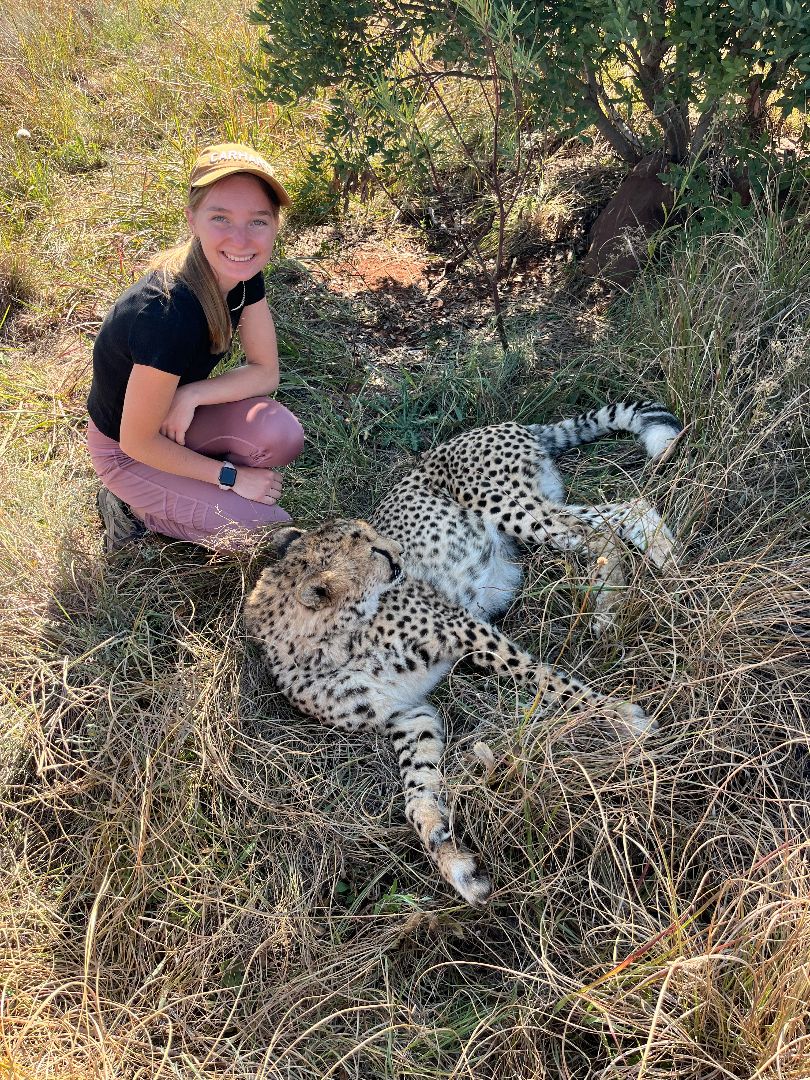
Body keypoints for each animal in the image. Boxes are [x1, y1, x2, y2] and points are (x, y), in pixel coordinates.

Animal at [246, 397, 686, 902]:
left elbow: (545, 680)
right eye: (374, 552)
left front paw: (617, 716)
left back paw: (635, 584)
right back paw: (626, 591)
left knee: (606, 521)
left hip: (507, 505)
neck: (331, 644)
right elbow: (417, 785)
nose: (398, 552)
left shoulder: (464, 629)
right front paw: (449, 854)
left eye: (376, 538)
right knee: (616, 516)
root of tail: (503, 425)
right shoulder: (406, 711)